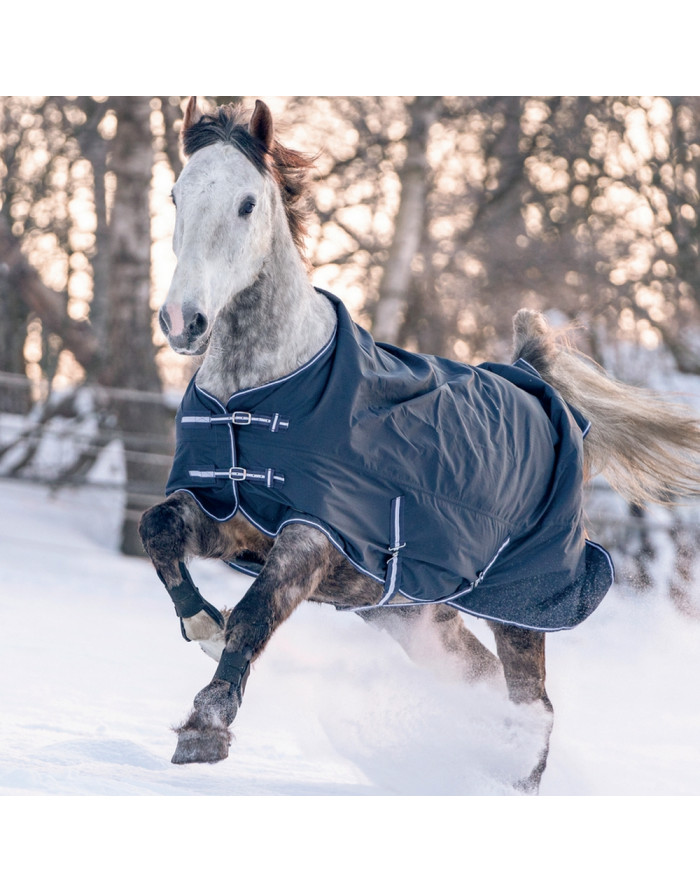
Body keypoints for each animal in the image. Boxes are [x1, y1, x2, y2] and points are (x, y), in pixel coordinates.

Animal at [139, 99, 700, 796]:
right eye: (175, 194)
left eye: (246, 203)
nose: (182, 320)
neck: (262, 395)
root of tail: (538, 383)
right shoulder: (231, 515)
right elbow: (158, 529)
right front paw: (202, 626)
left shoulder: (314, 534)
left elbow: (254, 611)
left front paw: (204, 728)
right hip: (414, 614)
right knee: (485, 682)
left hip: (522, 607)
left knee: (534, 704)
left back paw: (511, 781)